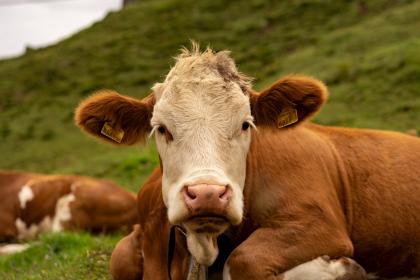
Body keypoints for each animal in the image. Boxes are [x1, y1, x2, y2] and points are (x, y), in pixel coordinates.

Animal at [75, 44, 420, 278]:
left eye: (245, 124)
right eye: (161, 128)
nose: (207, 194)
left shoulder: (321, 224)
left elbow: (244, 259)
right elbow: (121, 256)